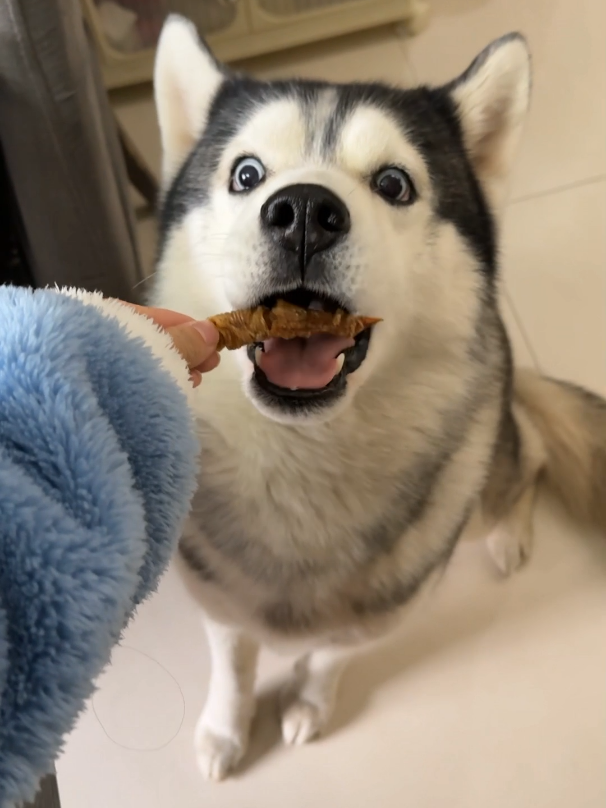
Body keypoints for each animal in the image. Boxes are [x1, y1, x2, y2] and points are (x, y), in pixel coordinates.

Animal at [152, 15, 606, 780]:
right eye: (246, 174)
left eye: (393, 183)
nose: (304, 210)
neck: (304, 461)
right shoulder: (216, 598)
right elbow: (234, 663)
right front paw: (225, 728)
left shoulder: (384, 611)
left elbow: (328, 657)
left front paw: (309, 702)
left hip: (480, 488)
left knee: (531, 453)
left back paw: (512, 531)